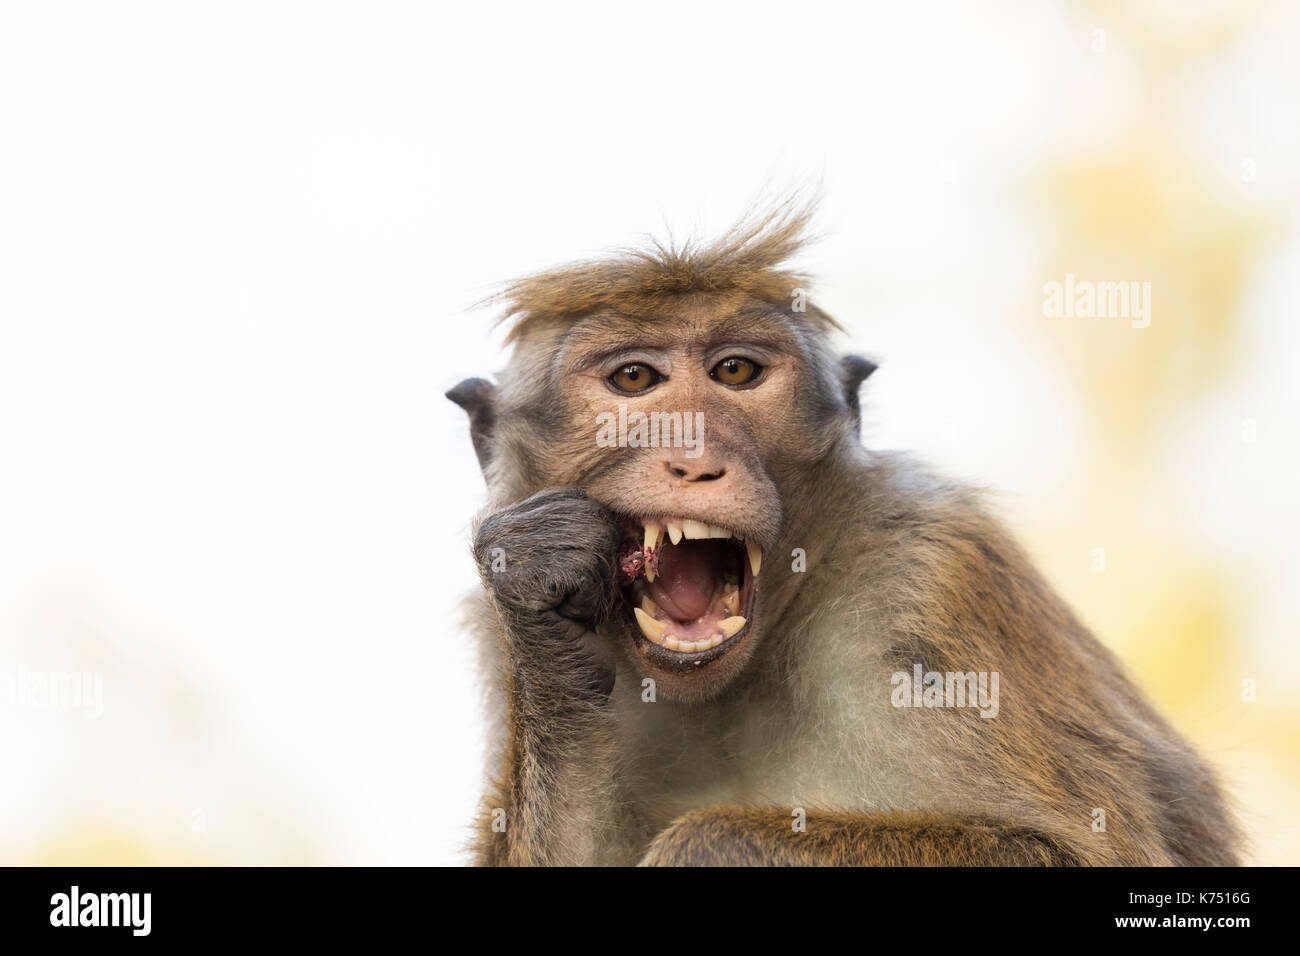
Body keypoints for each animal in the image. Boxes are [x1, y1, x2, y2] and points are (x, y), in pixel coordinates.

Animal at [447, 201, 1237, 868]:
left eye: (735, 370)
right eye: (635, 378)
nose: (695, 456)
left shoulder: (929, 581)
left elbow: (1085, 852)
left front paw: (710, 847)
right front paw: (546, 609)